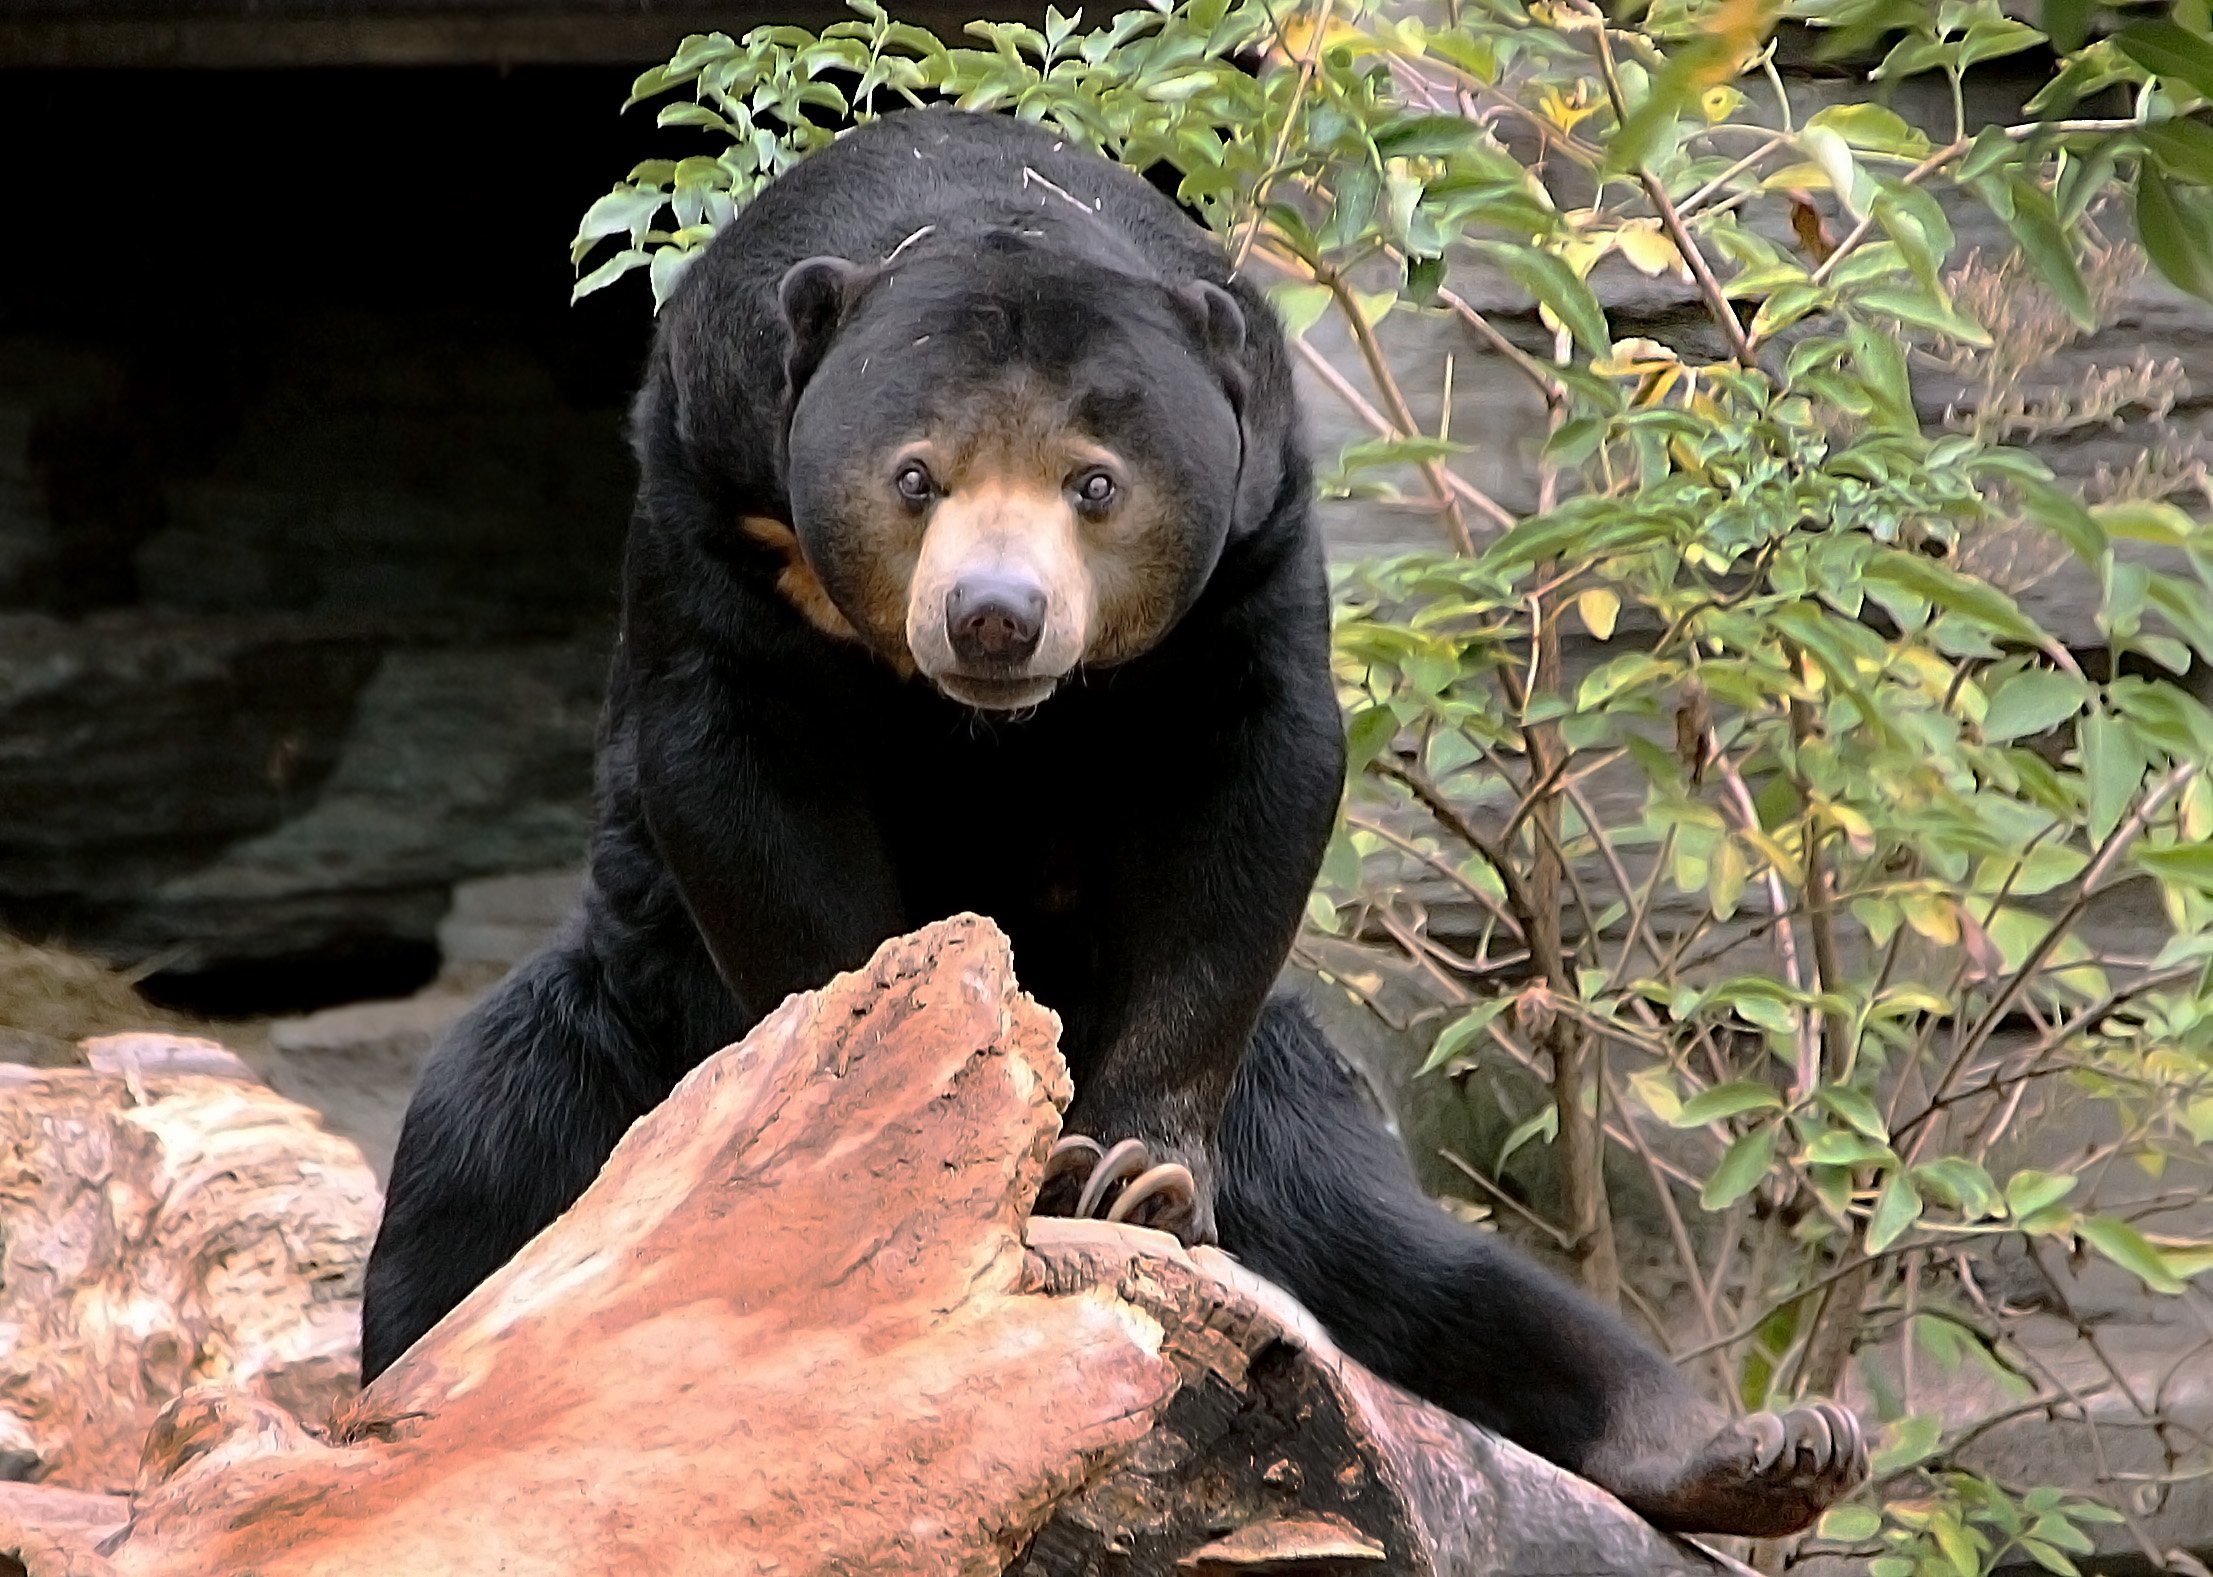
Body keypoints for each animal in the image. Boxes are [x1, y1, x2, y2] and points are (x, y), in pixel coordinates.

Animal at [362, 104, 1867, 1530]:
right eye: (915, 475)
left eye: (1095, 481)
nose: (995, 615)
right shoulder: (713, 486)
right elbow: (736, 777)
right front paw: (884, 1114)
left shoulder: (1256, 522)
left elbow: (1251, 777)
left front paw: (1129, 1174)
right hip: (623, 1021)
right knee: (479, 1164)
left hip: (1293, 1090)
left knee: (1401, 1250)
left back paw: (1761, 1447)